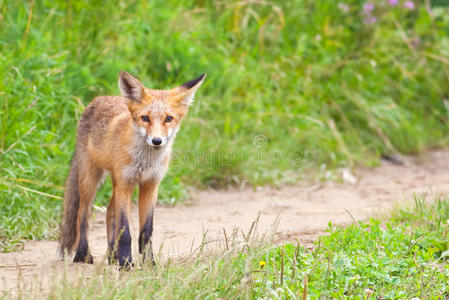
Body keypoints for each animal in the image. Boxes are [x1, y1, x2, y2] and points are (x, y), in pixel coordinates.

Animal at [58, 71, 206, 268]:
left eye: (168, 119)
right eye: (145, 118)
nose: (157, 141)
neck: (145, 162)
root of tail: (96, 100)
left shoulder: (150, 186)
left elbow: (146, 231)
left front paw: (148, 262)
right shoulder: (126, 185)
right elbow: (125, 231)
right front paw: (125, 263)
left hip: (114, 182)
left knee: (109, 213)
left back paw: (112, 256)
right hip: (91, 178)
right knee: (82, 215)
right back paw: (83, 254)